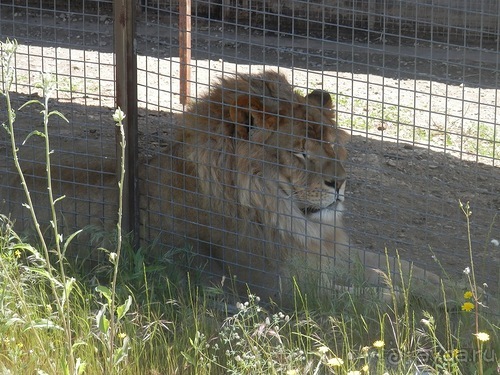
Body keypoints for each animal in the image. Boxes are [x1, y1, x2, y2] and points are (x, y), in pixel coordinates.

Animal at [141, 72, 454, 306]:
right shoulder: (280, 288)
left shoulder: (330, 252)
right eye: (300, 153)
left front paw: (450, 287)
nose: (340, 182)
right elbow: (374, 297)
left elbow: (395, 264)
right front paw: (419, 297)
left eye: (331, 144)